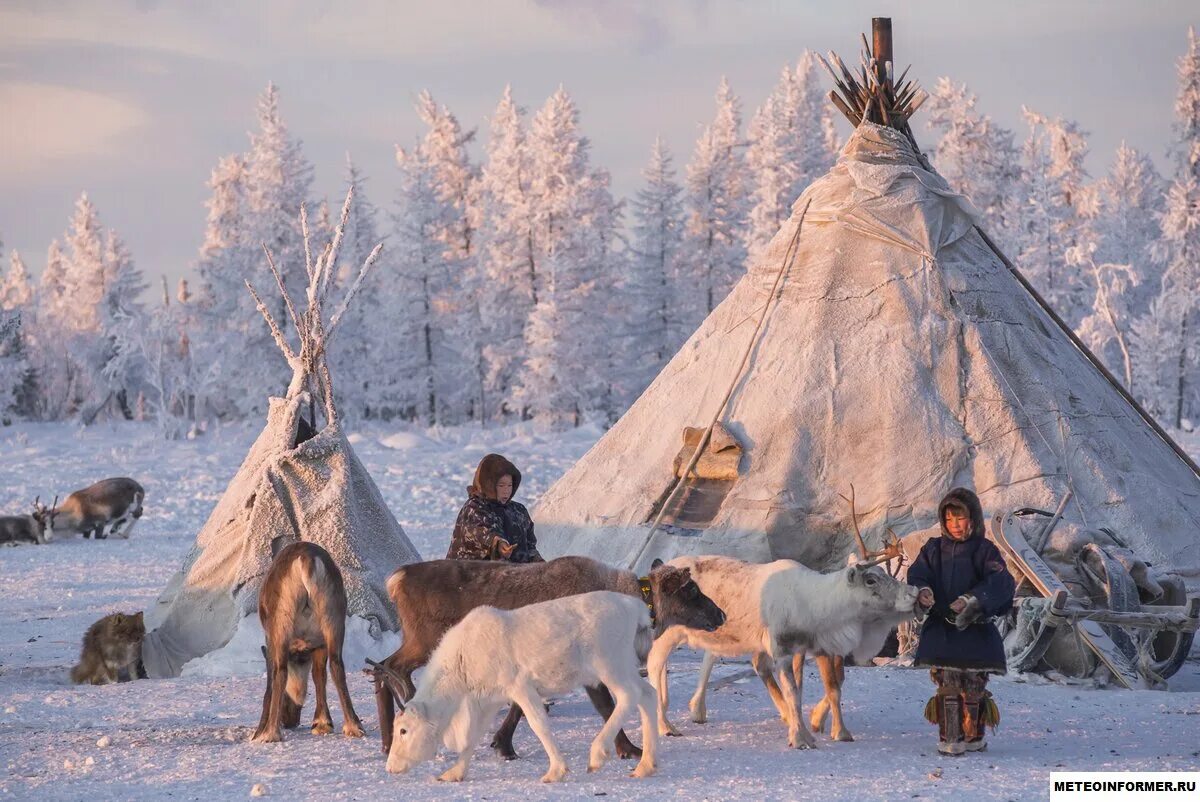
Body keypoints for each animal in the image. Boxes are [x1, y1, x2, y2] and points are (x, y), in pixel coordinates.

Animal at [250, 537, 362, 744]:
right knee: (337, 666)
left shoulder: (270, 643)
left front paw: (258, 732)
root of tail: (306, 561)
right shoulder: (319, 645)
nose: (290, 722)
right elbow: (319, 676)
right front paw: (322, 723)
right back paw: (353, 726)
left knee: (280, 672)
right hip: (333, 620)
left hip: (281, 625)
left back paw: (271, 733)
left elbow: (269, 686)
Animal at [388, 593, 662, 777]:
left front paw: (556, 771)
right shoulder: (490, 700)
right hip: (624, 665)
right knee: (648, 693)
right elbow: (474, 736)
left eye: (403, 730)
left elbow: (538, 724)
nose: (390, 767)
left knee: (629, 696)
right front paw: (453, 773)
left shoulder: (519, 687)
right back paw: (645, 766)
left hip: (608, 664)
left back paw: (598, 754)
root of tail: (636, 608)